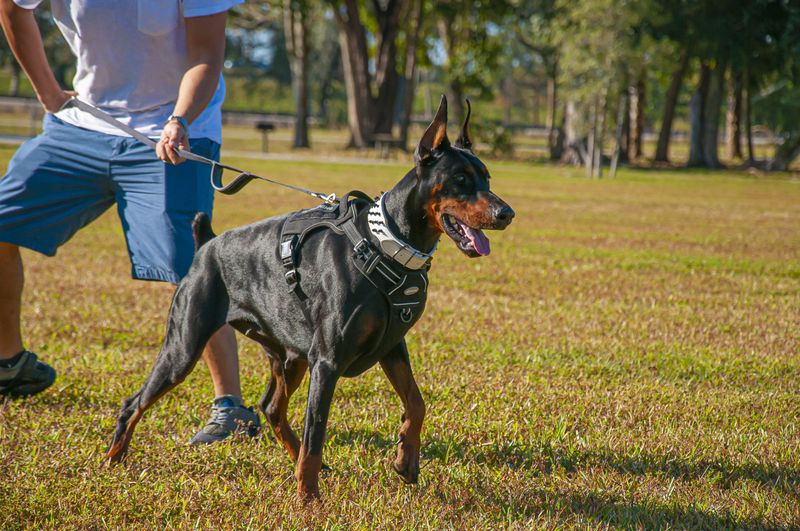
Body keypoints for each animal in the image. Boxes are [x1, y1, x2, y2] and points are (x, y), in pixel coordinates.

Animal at [104, 96, 512, 502]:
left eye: (487, 178)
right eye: (460, 180)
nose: (506, 213)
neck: (387, 244)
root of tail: (207, 242)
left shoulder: (392, 345)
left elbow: (416, 402)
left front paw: (405, 461)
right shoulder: (327, 360)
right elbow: (317, 430)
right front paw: (309, 498)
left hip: (290, 355)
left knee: (271, 408)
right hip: (185, 345)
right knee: (134, 403)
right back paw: (112, 460)